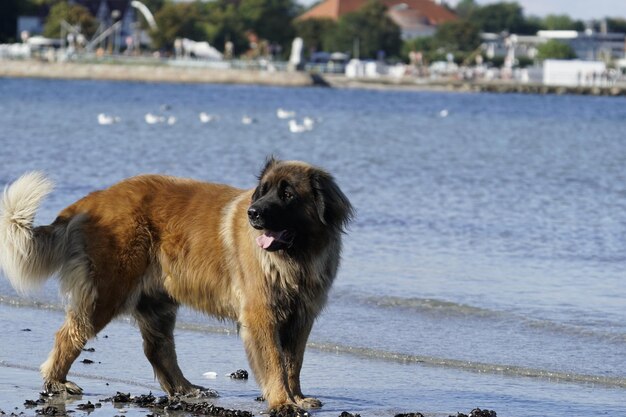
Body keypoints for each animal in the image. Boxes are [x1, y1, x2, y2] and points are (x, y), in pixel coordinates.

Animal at [0, 158, 352, 410]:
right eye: (263, 190)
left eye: (288, 194)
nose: (253, 213)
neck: (295, 258)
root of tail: (94, 199)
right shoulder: (261, 316)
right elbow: (275, 362)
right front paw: (282, 402)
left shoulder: (301, 317)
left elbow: (293, 362)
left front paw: (297, 397)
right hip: (107, 293)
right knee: (69, 334)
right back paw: (57, 383)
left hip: (157, 301)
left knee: (159, 349)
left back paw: (187, 389)